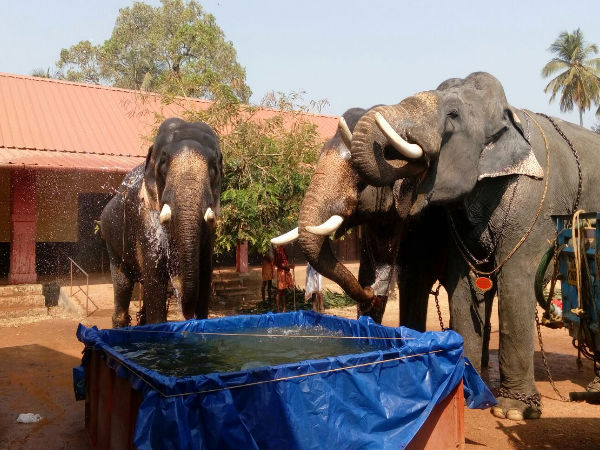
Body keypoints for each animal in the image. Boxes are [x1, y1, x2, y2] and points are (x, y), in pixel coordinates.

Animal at [101, 116, 223, 326]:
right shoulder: (145, 221)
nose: (186, 313)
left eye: (213, 168)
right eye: (164, 163)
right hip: (112, 244)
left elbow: (204, 273)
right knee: (122, 282)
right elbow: (155, 275)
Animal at [346, 70, 600, 418]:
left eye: (453, 115)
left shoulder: (534, 206)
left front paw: (513, 411)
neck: (511, 114)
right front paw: (468, 394)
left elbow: (516, 280)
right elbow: (466, 284)